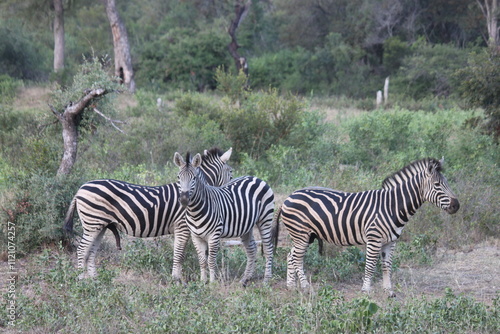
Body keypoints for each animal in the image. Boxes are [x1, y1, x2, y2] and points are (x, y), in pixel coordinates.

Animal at [64, 147, 232, 280]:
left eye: (194, 178)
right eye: (231, 172)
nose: (183, 200)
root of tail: (81, 188)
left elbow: (180, 253)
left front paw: (177, 278)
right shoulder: (183, 227)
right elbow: (179, 254)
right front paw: (176, 280)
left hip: (100, 225)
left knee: (91, 251)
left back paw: (94, 280)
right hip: (92, 223)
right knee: (82, 249)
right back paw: (81, 279)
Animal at [174, 153, 276, 286]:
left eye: (194, 178)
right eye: (178, 177)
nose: (184, 200)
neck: (194, 212)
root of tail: (254, 177)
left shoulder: (214, 235)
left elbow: (211, 260)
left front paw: (212, 283)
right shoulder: (196, 237)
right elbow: (202, 261)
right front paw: (203, 282)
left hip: (265, 220)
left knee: (268, 249)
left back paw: (266, 280)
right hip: (246, 226)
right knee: (252, 249)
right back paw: (245, 279)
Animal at [276, 158, 458, 296]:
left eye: (447, 183)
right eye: (437, 185)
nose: (457, 205)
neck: (391, 206)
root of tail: (289, 196)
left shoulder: (390, 242)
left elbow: (386, 265)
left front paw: (388, 291)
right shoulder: (374, 238)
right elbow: (370, 265)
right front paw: (366, 290)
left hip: (307, 236)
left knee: (291, 256)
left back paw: (291, 287)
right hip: (301, 233)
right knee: (297, 258)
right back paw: (306, 288)